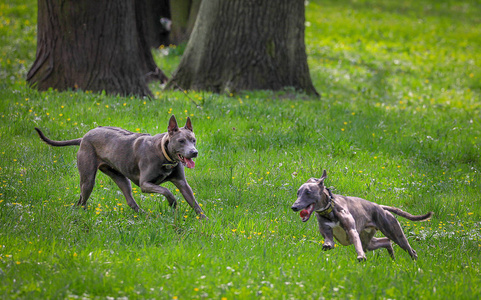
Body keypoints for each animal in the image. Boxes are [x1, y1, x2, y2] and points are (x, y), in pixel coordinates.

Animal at [34, 115, 205, 218]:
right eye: (181, 141)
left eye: (193, 140)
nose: (194, 152)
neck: (164, 155)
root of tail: (83, 137)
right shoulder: (145, 184)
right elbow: (166, 190)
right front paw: (172, 203)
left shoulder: (182, 183)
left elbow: (194, 202)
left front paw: (204, 219)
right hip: (88, 179)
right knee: (81, 199)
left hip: (121, 178)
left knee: (130, 200)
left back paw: (144, 215)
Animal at [290, 171, 434, 260]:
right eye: (298, 193)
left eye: (308, 192)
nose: (294, 207)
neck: (330, 209)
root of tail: (380, 207)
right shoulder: (327, 231)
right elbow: (329, 241)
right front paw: (327, 245)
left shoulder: (351, 230)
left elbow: (357, 245)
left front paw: (361, 257)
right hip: (368, 241)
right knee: (386, 241)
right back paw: (392, 259)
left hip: (395, 233)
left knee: (410, 250)